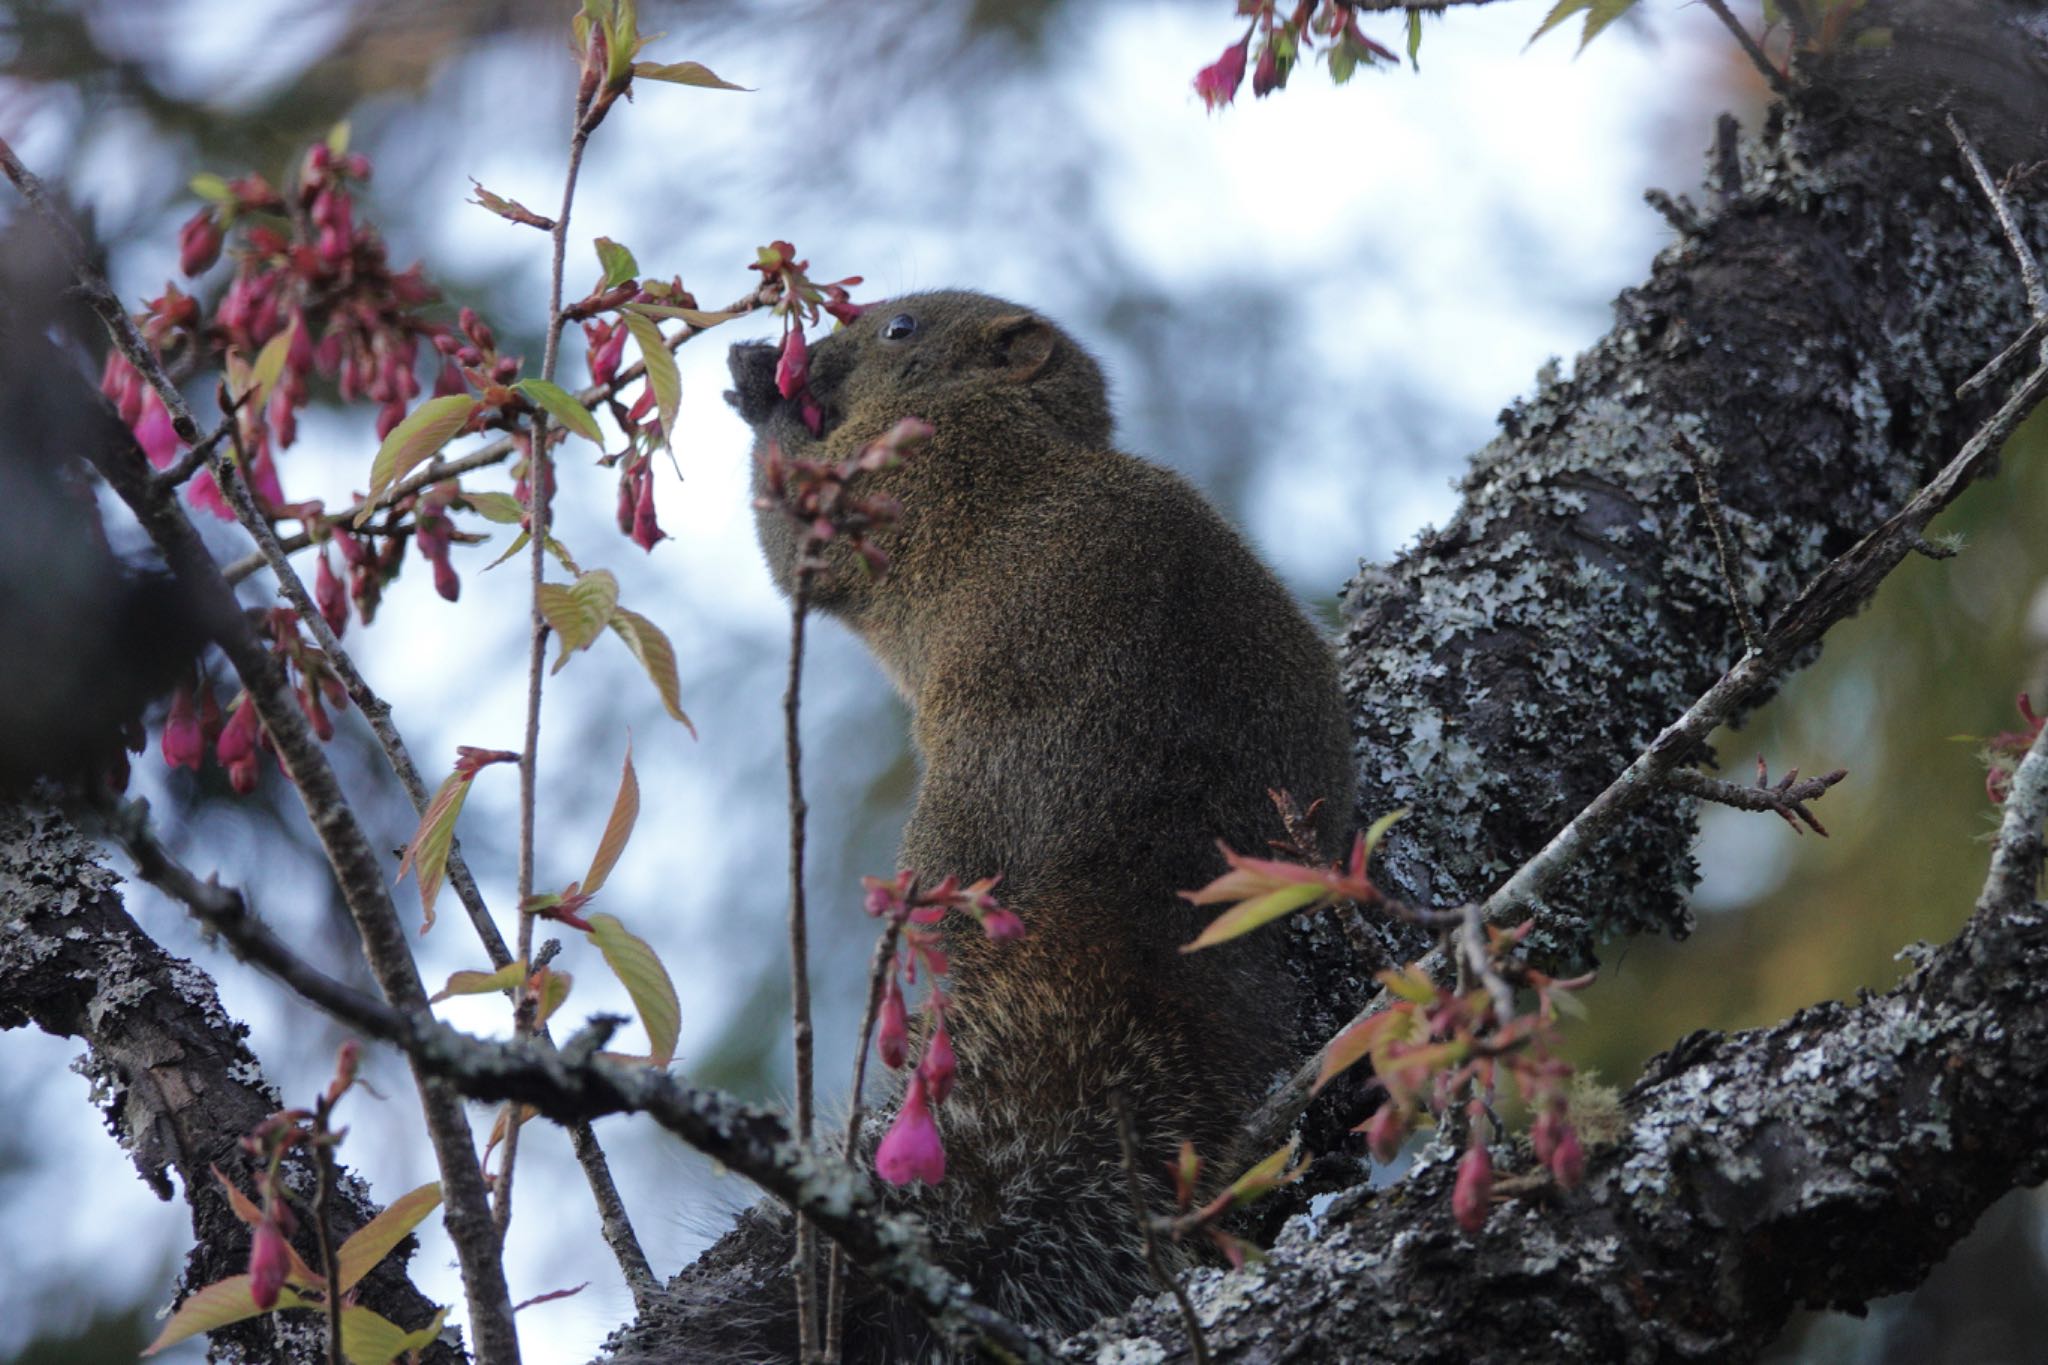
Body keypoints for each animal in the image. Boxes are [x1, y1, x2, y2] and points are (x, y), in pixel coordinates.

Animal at [630, 294, 1351, 1358]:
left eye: (900, 328)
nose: (807, 358)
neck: (1013, 419)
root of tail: (1137, 880)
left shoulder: (906, 476)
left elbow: (799, 535)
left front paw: (759, 392)